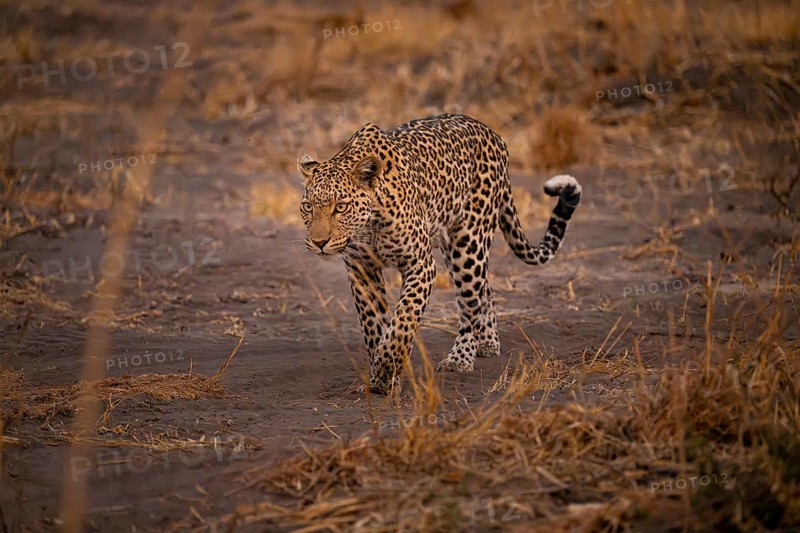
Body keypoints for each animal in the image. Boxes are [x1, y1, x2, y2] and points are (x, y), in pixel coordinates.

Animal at [298, 114, 581, 394]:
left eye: (341, 207)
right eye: (307, 207)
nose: (319, 242)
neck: (370, 223)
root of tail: (493, 134)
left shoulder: (420, 265)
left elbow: (403, 320)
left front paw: (388, 367)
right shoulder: (361, 268)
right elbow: (373, 325)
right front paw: (381, 376)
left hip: (468, 246)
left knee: (471, 302)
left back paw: (461, 357)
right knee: (486, 288)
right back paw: (488, 342)